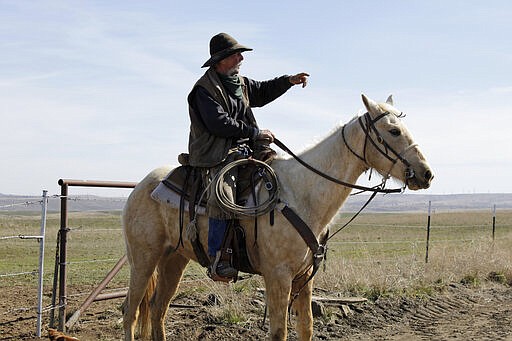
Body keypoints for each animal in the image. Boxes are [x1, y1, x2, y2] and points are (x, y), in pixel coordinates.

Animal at [122, 93, 434, 340]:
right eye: (393, 131)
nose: (426, 173)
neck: (301, 193)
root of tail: (140, 187)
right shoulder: (278, 276)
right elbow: (278, 332)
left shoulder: (304, 277)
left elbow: (306, 327)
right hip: (143, 259)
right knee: (131, 311)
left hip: (174, 258)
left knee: (157, 310)